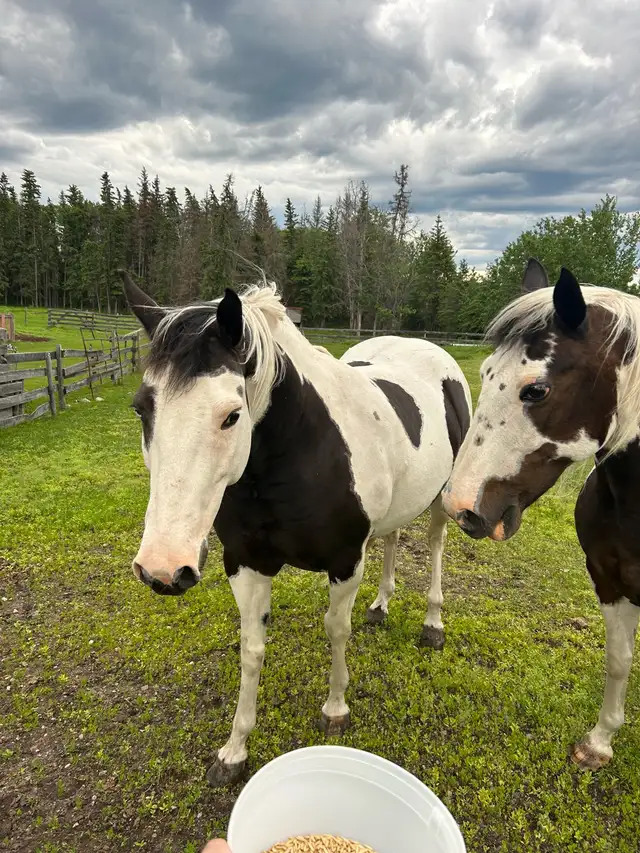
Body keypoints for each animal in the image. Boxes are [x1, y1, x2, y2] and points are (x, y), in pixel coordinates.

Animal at [118, 269, 472, 785]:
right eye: (142, 408)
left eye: (232, 415)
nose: (163, 569)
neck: (297, 453)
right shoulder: (246, 564)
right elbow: (251, 649)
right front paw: (234, 750)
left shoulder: (346, 562)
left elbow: (336, 630)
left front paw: (335, 709)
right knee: (391, 538)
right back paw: (381, 606)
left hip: (443, 500)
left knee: (435, 545)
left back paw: (432, 624)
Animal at [443, 257, 640, 771]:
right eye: (486, 372)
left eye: (536, 390)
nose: (461, 508)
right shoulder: (608, 579)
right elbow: (618, 660)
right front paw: (599, 743)